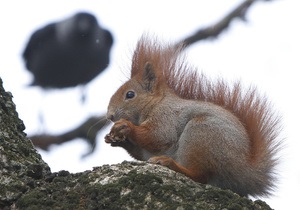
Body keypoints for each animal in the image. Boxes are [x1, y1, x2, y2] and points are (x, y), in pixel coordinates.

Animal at [104, 34, 282, 197]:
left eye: (130, 95)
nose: (110, 116)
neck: (156, 103)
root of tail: (244, 172)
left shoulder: (166, 116)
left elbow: (157, 136)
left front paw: (125, 126)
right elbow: (142, 151)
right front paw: (116, 139)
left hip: (201, 134)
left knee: (200, 176)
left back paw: (170, 164)